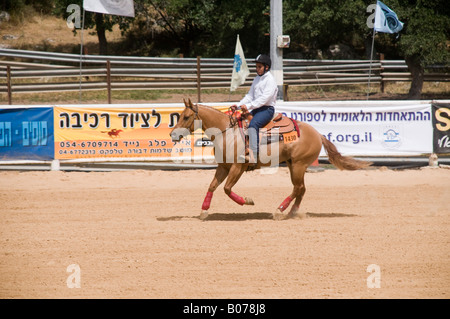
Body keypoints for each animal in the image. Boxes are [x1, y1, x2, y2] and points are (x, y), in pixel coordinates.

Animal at [171, 99, 370, 220]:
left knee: (298, 188)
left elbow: (227, 189)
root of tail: (317, 134)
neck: (227, 132)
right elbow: (212, 186)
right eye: (179, 115)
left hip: (298, 165)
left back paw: (280, 210)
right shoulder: (223, 167)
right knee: (301, 189)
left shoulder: (238, 167)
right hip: (293, 165)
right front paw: (204, 211)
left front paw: (247, 201)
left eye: (186, 116)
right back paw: (292, 212)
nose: (172, 134)